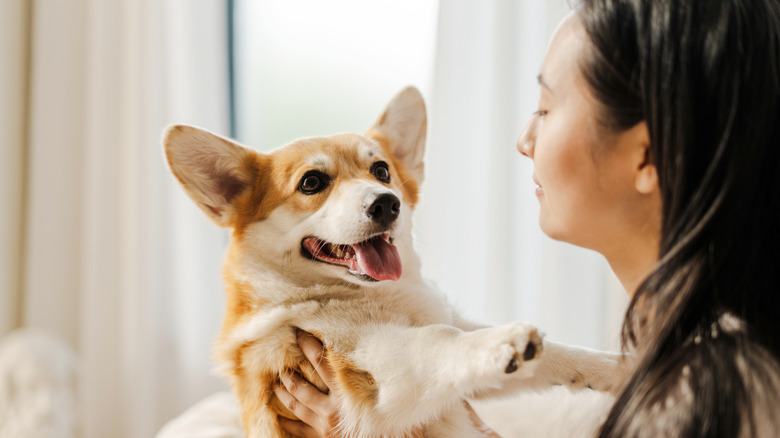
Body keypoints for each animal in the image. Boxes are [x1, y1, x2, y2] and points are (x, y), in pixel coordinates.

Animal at [165, 87, 620, 436]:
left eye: (381, 170)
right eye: (311, 182)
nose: (387, 203)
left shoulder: (463, 368)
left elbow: (562, 356)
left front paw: (617, 365)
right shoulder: (375, 381)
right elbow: (440, 340)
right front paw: (505, 342)